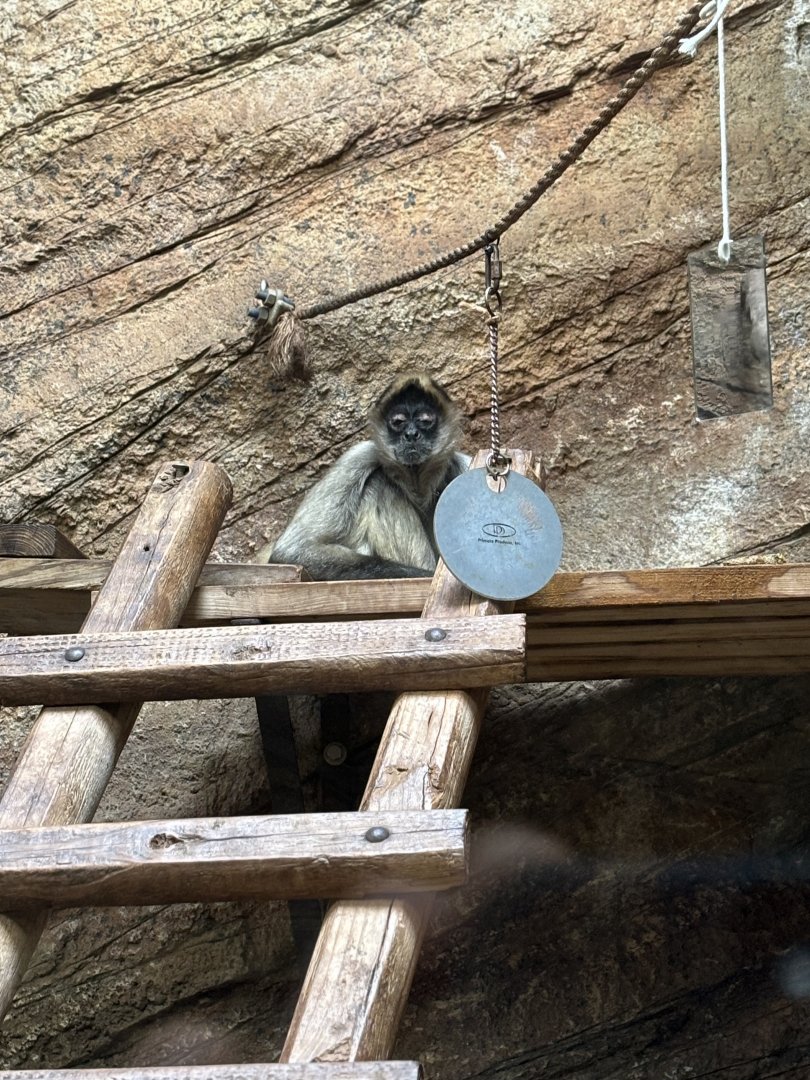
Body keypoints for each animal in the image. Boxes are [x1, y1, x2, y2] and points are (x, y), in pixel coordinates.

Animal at [258, 372, 469, 580]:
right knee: (378, 483)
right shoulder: (360, 453)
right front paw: (428, 575)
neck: (415, 480)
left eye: (425, 421)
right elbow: (293, 550)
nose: (411, 434)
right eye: (398, 422)